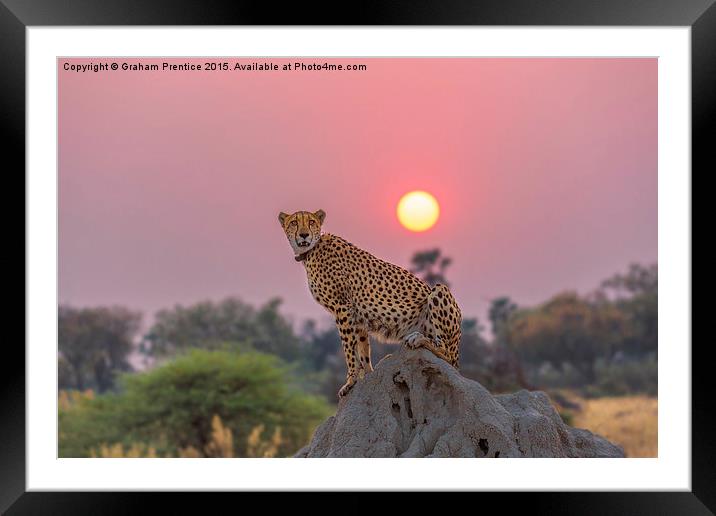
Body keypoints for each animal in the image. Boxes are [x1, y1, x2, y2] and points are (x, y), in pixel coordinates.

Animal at [276, 208, 462, 398]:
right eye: (294, 223)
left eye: (311, 222)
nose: (304, 234)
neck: (311, 251)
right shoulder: (357, 316)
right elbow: (363, 350)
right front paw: (368, 376)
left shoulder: (343, 308)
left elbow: (348, 348)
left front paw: (350, 381)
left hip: (439, 291)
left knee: (445, 352)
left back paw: (417, 339)